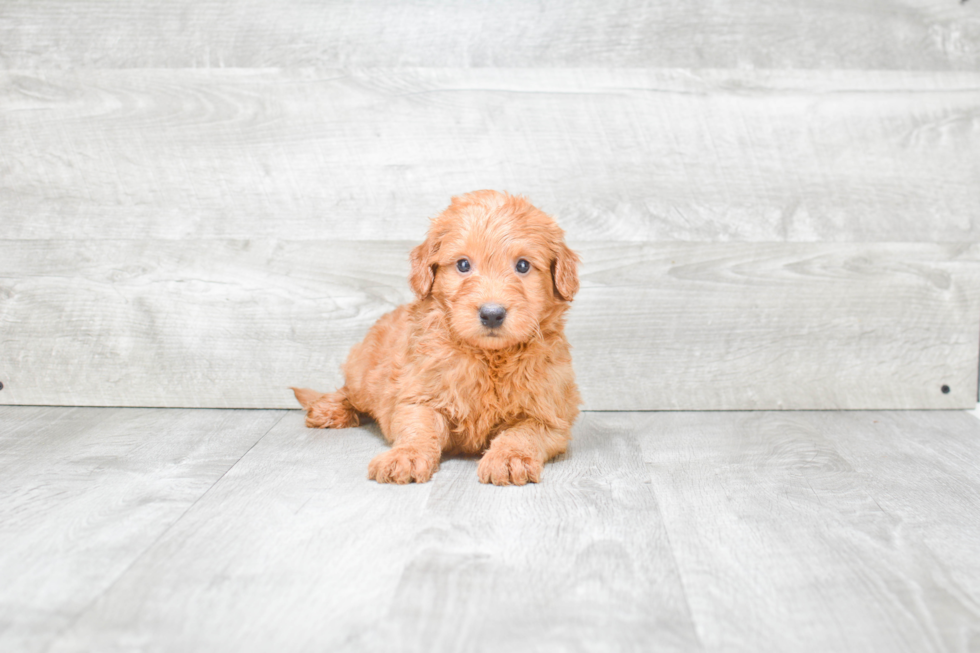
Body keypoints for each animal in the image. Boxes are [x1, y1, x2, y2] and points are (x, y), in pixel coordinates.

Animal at [290, 188, 580, 484]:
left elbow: (523, 433)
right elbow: (419, 428)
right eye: (463, 265)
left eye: (522, 266)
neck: (488, 357)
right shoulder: (418, 396)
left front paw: (510, 458)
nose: (492, 314)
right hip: (362, 371)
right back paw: (329, 410)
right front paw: (405, 456)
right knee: (348, 391)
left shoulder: (549, 414)